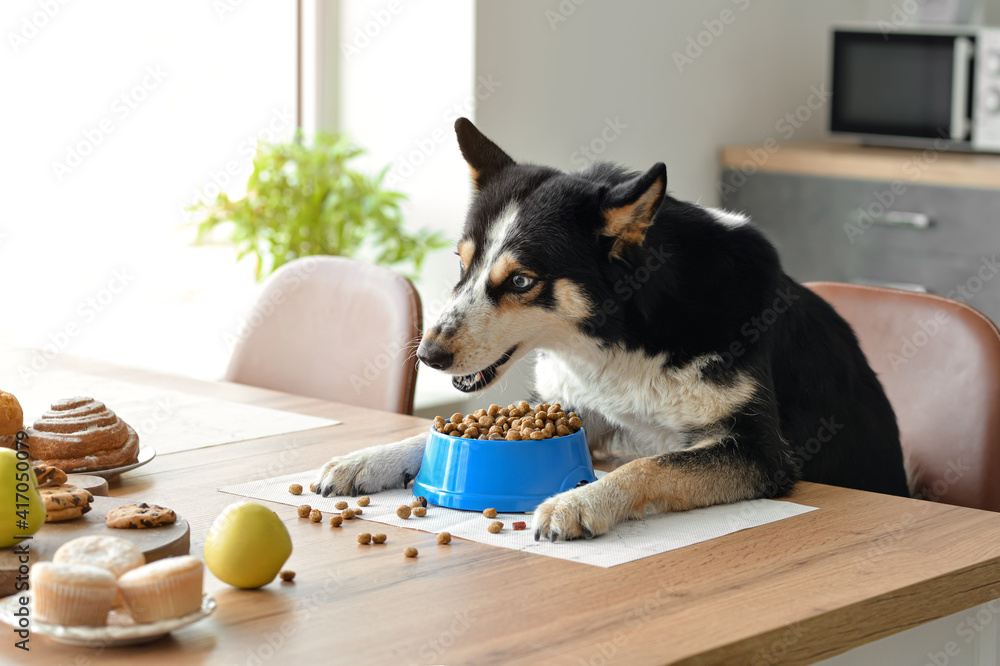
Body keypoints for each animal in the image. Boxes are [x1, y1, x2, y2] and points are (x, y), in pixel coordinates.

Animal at [316, 116, 912, 536]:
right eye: (461, 262)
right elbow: (431, 431)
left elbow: (653, 464)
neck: (626, 338)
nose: (428, 355)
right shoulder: (580, 411)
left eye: (522, 281)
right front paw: (366, 459)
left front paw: (578, 501)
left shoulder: (760, 453)